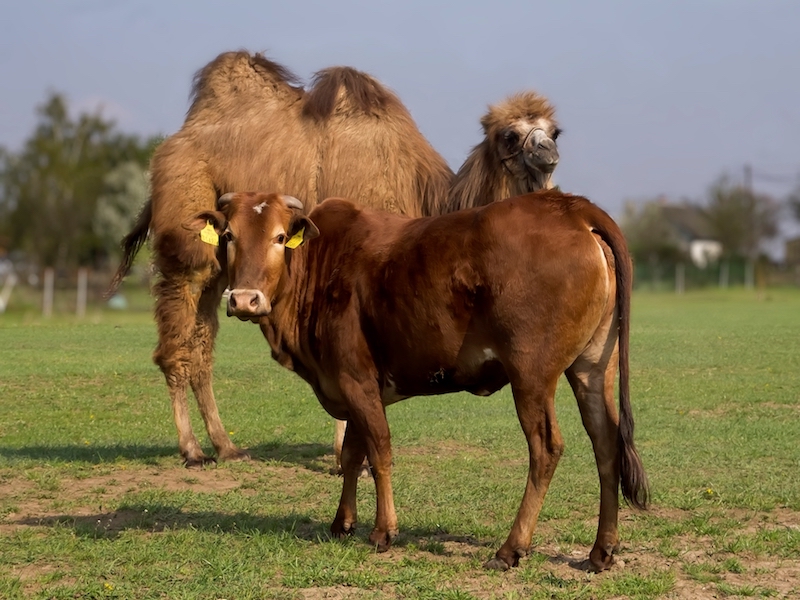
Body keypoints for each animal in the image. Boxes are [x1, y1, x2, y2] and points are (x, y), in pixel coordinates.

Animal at [188, 192, 648, 572]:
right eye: (228, 236)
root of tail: (571, 207)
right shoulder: (356, 386)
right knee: (606, 444)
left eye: (280, 237)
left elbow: (379, 452)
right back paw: (601, 550)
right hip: (592, 368)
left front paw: (383, 531)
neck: (320, 265)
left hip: (531, 375)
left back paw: (510, 548)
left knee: (546, 448)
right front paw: (342, 523)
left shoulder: (354, 379)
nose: (244, 300)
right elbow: (352, 455)